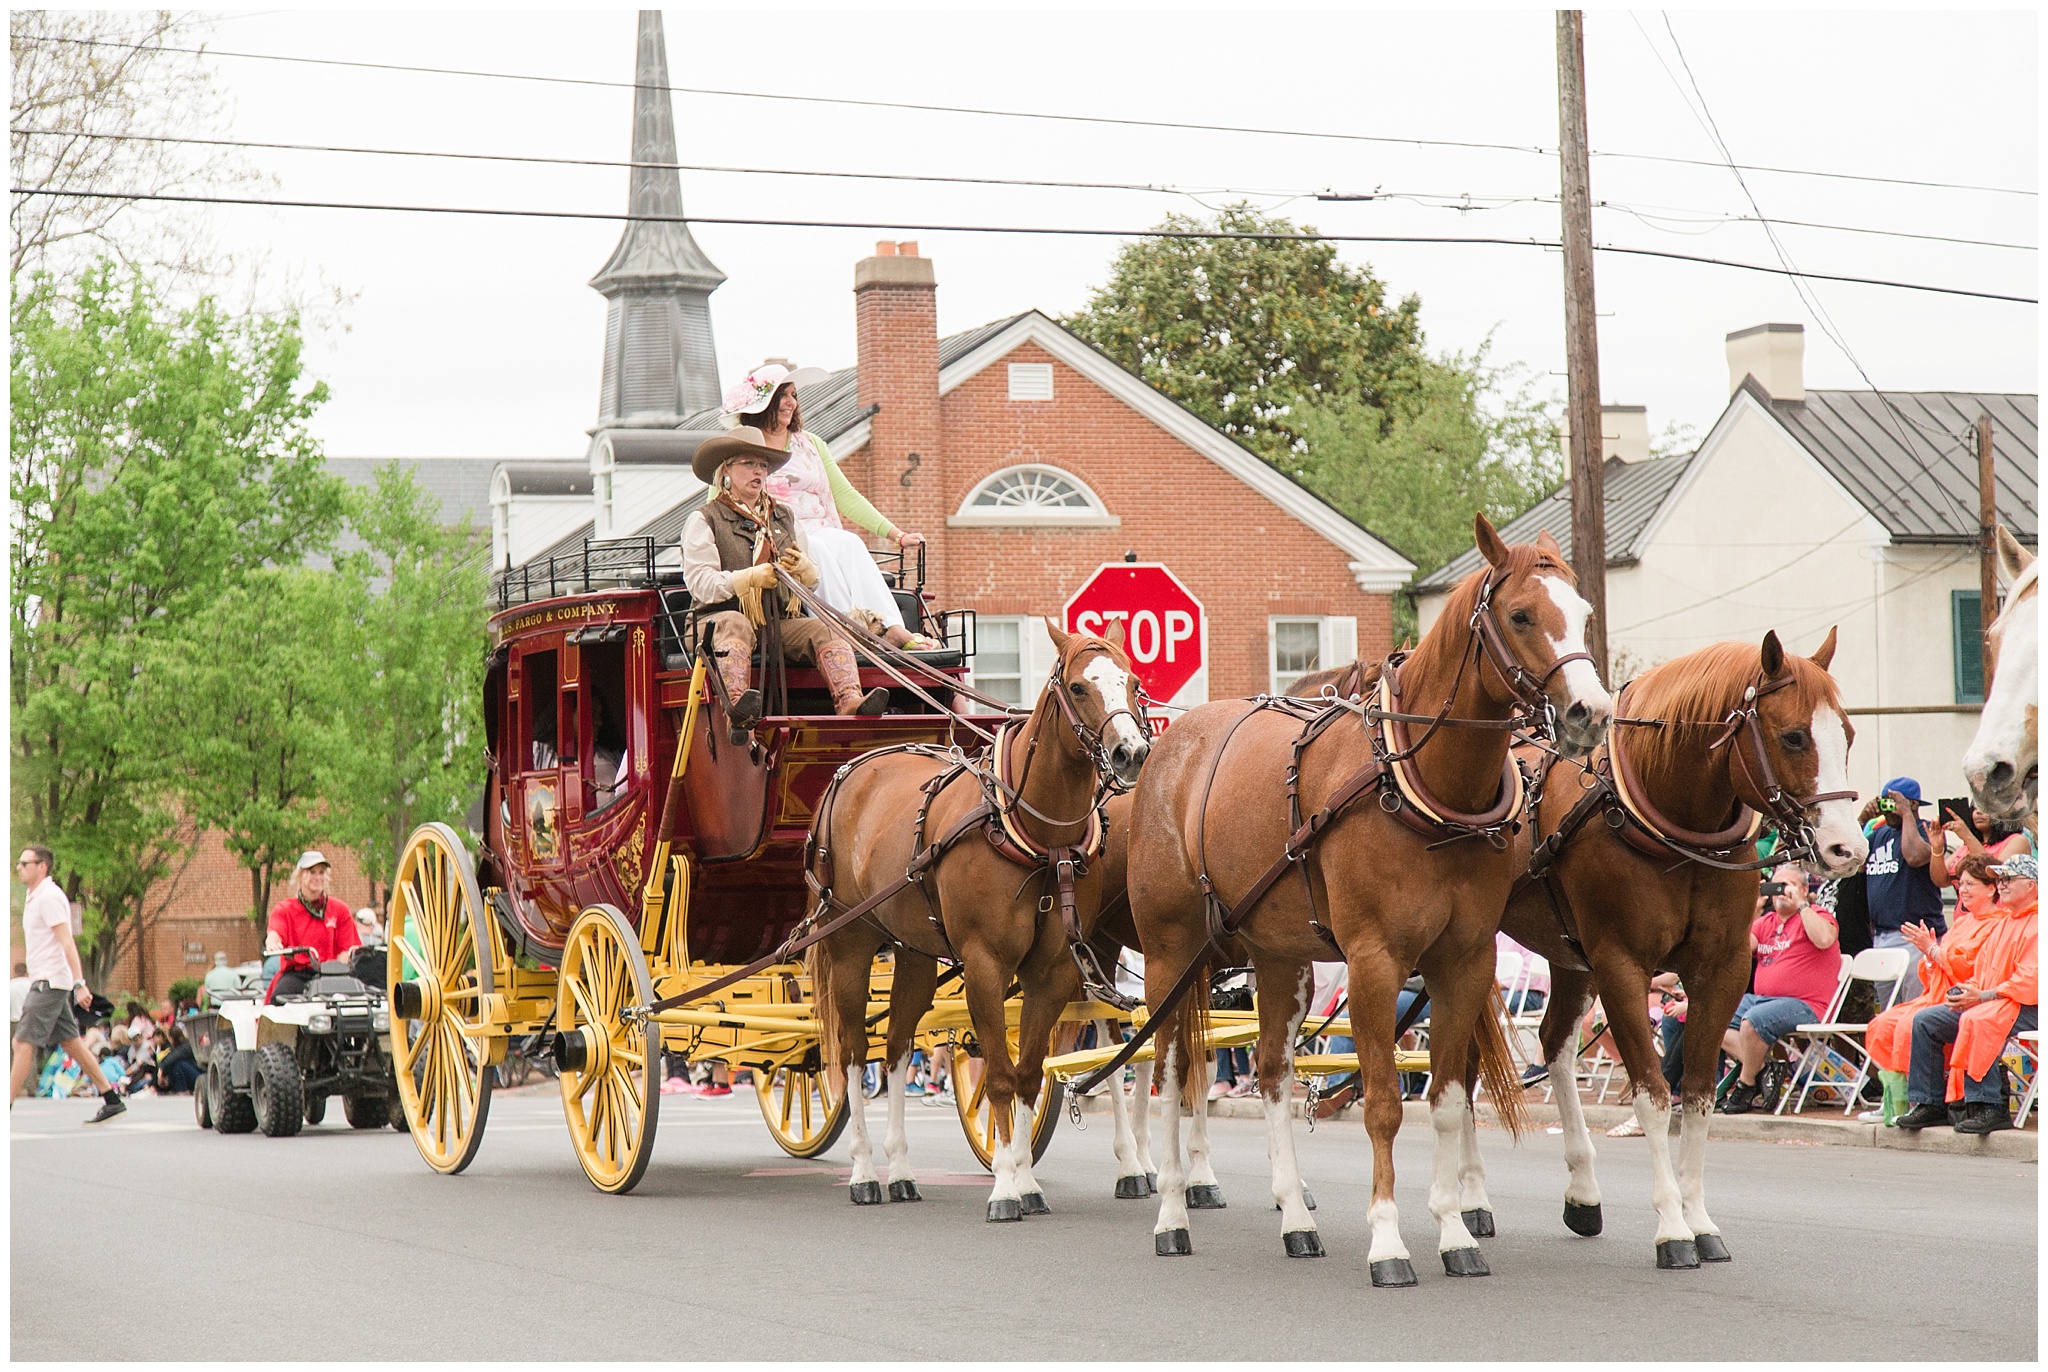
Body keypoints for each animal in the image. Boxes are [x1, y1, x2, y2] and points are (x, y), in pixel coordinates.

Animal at [802, 630, 1155, 1220]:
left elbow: (1029, 1074)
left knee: (895, 1050)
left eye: (1132, 683)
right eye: (1078, 687)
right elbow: (999, 1077)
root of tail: (851, 770)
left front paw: (1027, 1182)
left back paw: (901, 1172)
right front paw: (1006, 1188)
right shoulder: (986, 967)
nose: (1131, 753)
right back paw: (865, 1173)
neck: (1034, 834)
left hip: (914, 951)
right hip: (850, 942)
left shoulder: (1052, 973)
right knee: (852, 1054)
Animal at [1122, 522, 1613, 1285]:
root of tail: (1167, 747)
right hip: (1171, 956)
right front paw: (1388, 1240)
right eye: (1521, 615)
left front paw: (1454, 1232)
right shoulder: (1375, 963)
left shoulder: (1463, 961)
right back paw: (1172, 1212)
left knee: (1271, 1072)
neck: (1422, 785)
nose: (1591, 713)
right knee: (1172, 1075)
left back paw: (1295, 1218)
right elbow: (1383, 1104)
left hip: (1279, 958)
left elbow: (1446, 1101)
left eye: (1584, 612)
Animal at [1490, 630, 1875, 1269]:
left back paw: (1579, 1192)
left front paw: (1699, 1219)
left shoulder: (1721, 969)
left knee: (1553, 1046)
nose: (1848, 849)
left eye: (1846, 733)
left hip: (1566, 957)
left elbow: (1696, 1093)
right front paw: (1671, 1227)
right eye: (1794, 736)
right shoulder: (1622, 965)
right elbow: (1652, 1093)